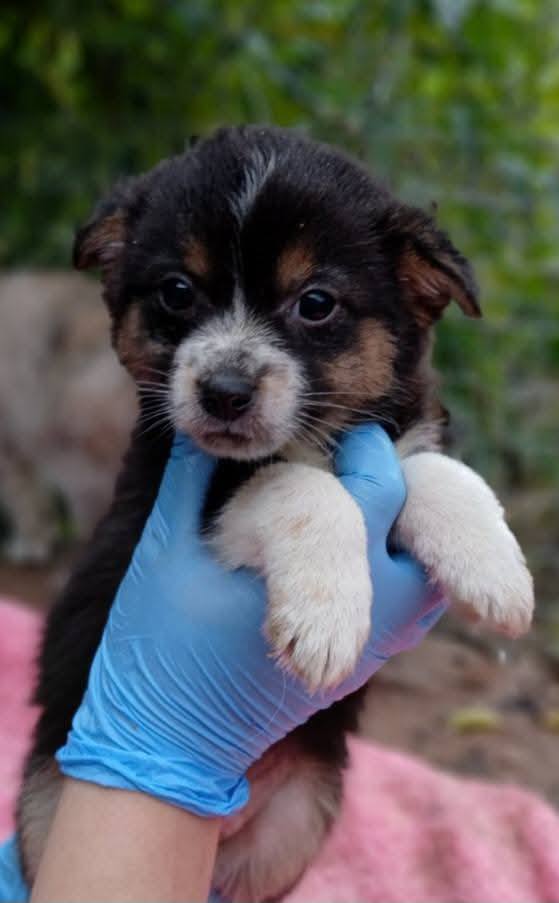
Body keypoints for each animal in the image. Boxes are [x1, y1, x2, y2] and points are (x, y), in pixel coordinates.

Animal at [17, 125, 534, 901]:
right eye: (176, 291)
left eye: (315, 302)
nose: (224, 391)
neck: (315, 436)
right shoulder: (186, 500)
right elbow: (303, 490)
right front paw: (326, 619)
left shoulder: (391, 442)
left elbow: (436, 470)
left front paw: (496, 571)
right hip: (44, 810)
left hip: (299, 822)